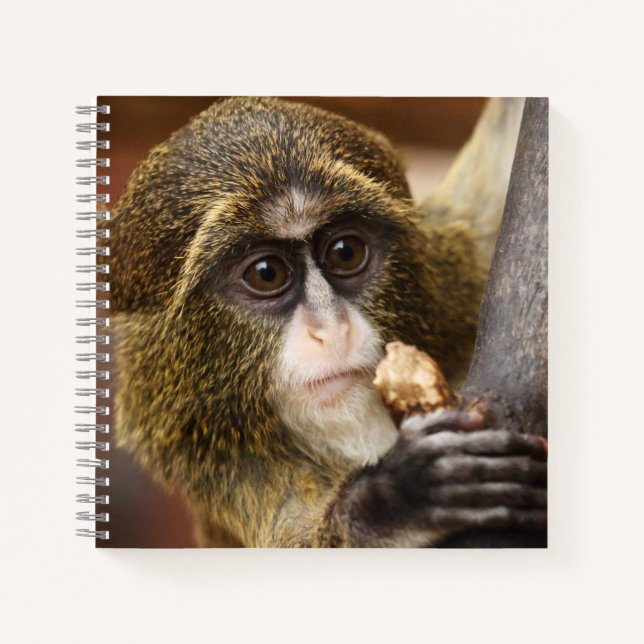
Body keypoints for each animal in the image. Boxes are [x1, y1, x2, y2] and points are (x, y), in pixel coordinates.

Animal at [105, 97, 546, 547]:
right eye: (266, 273)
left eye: (345, 252)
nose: (331, 330)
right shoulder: (228, 469)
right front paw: (397, 495)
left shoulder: (455, 272)